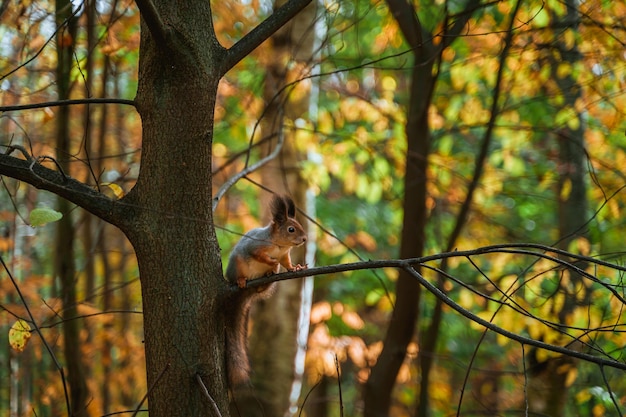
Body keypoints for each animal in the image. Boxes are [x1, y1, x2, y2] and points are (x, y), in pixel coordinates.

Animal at [224, 195, 308, 386]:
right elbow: (259, 256)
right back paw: (241, 280)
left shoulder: (285, 255)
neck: (279, 245)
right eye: (291, 229)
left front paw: (295, 268)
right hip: (237, 264)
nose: (305, 239)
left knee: (264, 286)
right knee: (238, 275)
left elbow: (286, 263)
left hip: (269, 283)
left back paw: (266, 278)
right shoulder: (254, 246)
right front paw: (271, 261)